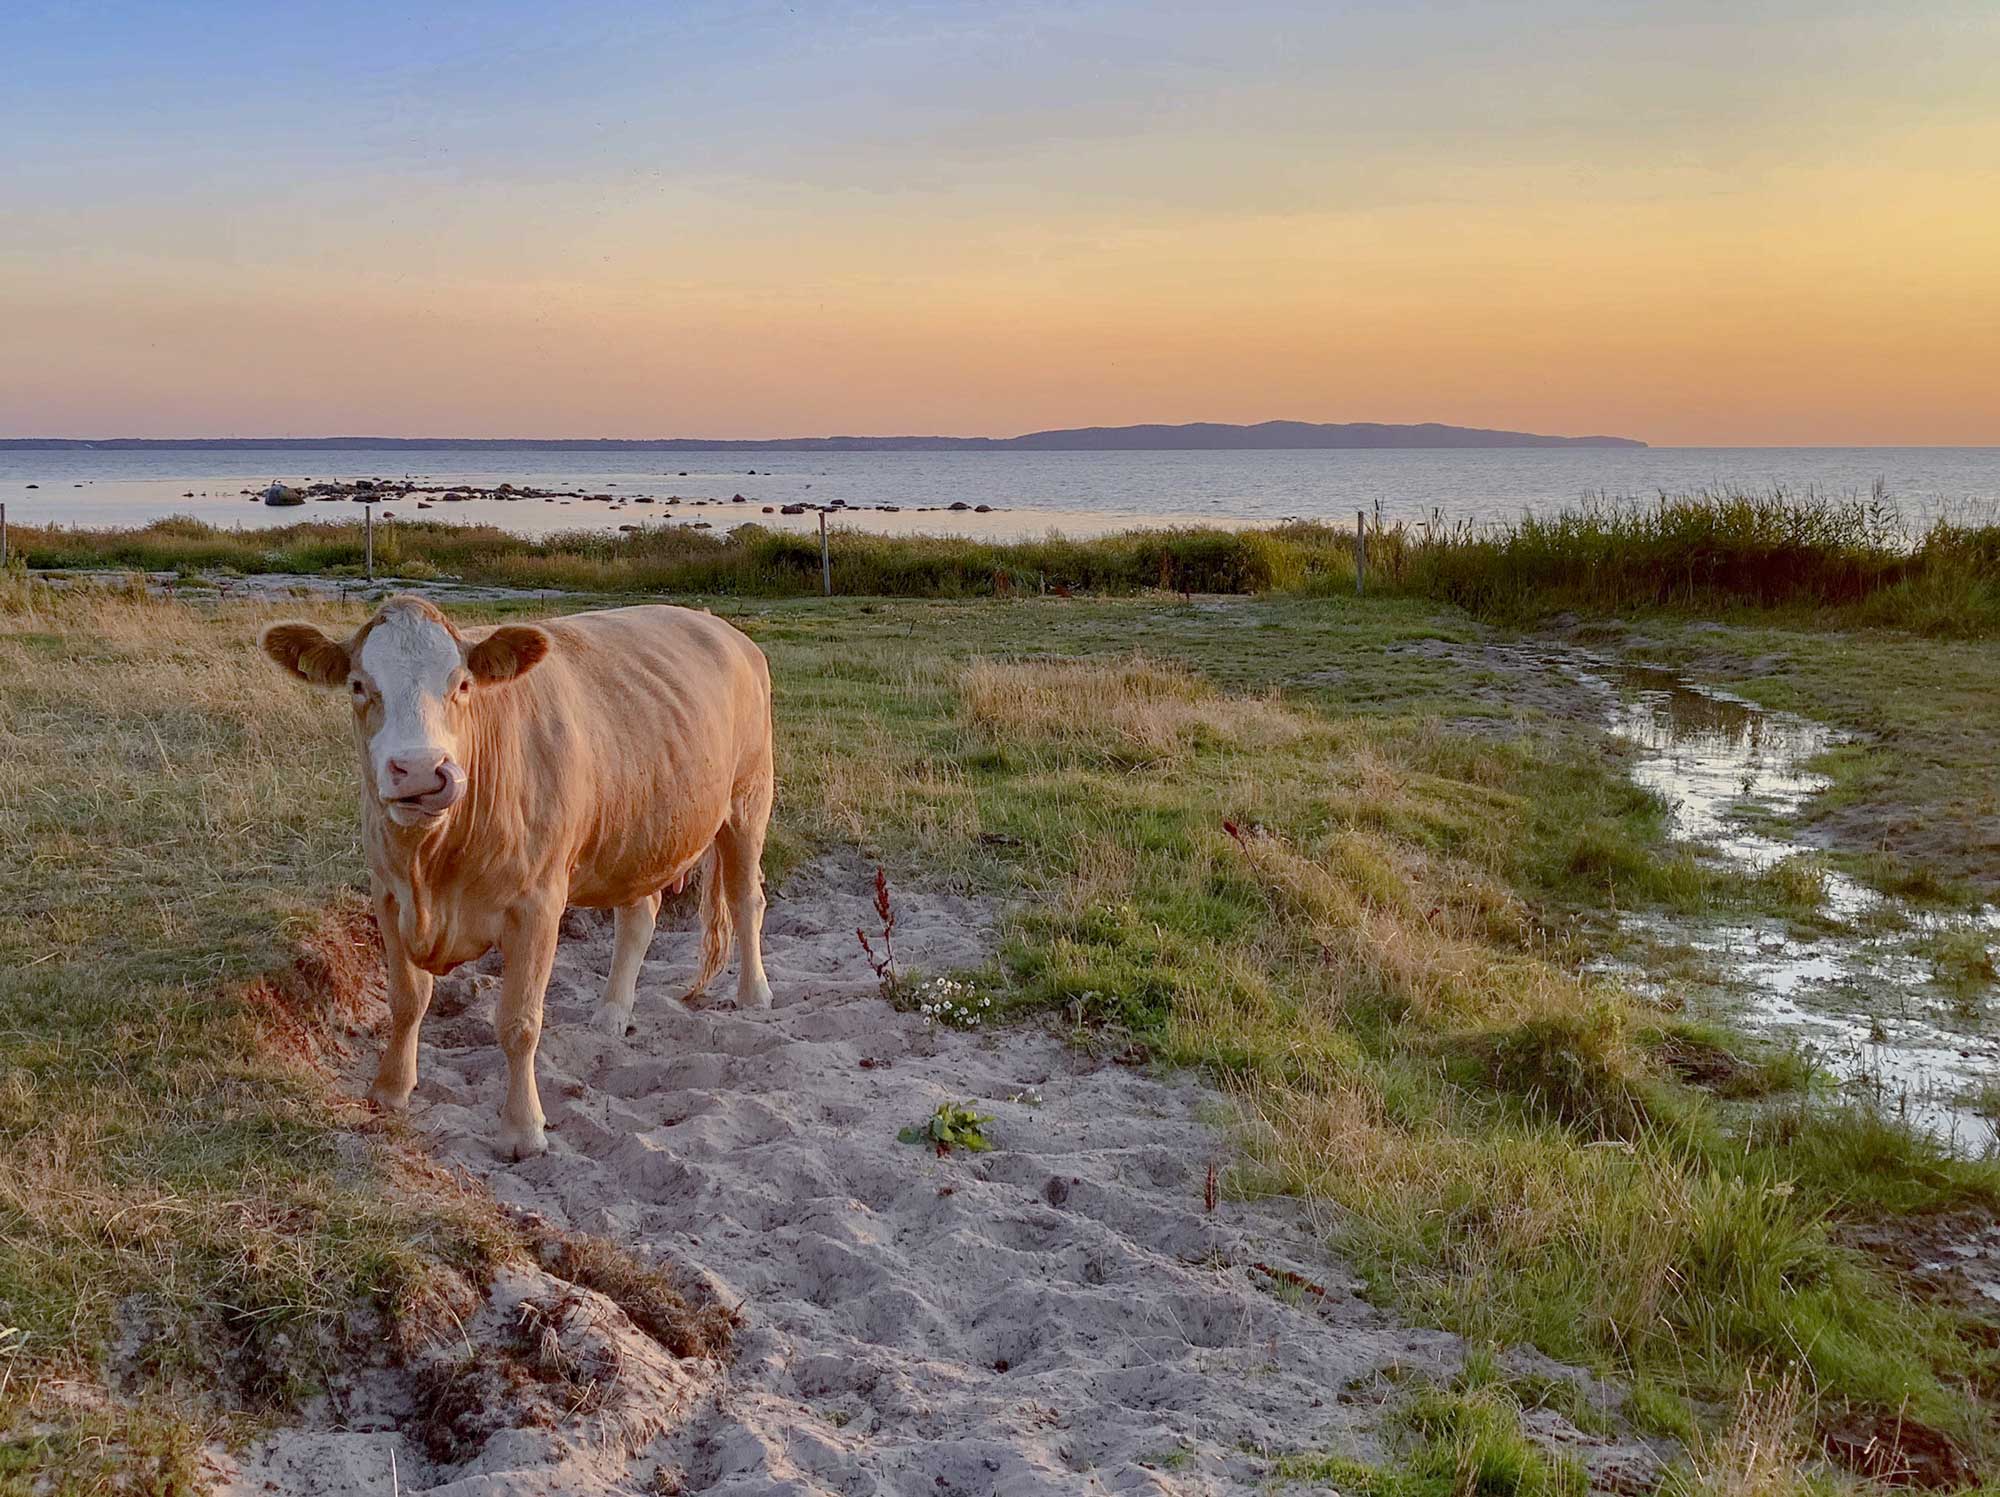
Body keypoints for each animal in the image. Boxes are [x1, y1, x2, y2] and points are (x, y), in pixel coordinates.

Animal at [260, 596, 774, 1159]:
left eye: (462, 684)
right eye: (358, 685)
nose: (419, 770)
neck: (431, 872)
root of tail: (717, 623)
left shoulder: (538, 904)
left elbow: (519, 1021)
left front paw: (522, 1129)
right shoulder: (388, 896)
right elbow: (407, 1000)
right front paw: (391, 1089)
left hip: (749, 797)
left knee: (746, 898)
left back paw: (754, 992)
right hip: (639, 830)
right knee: (639, 915)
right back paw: (612, 1012)